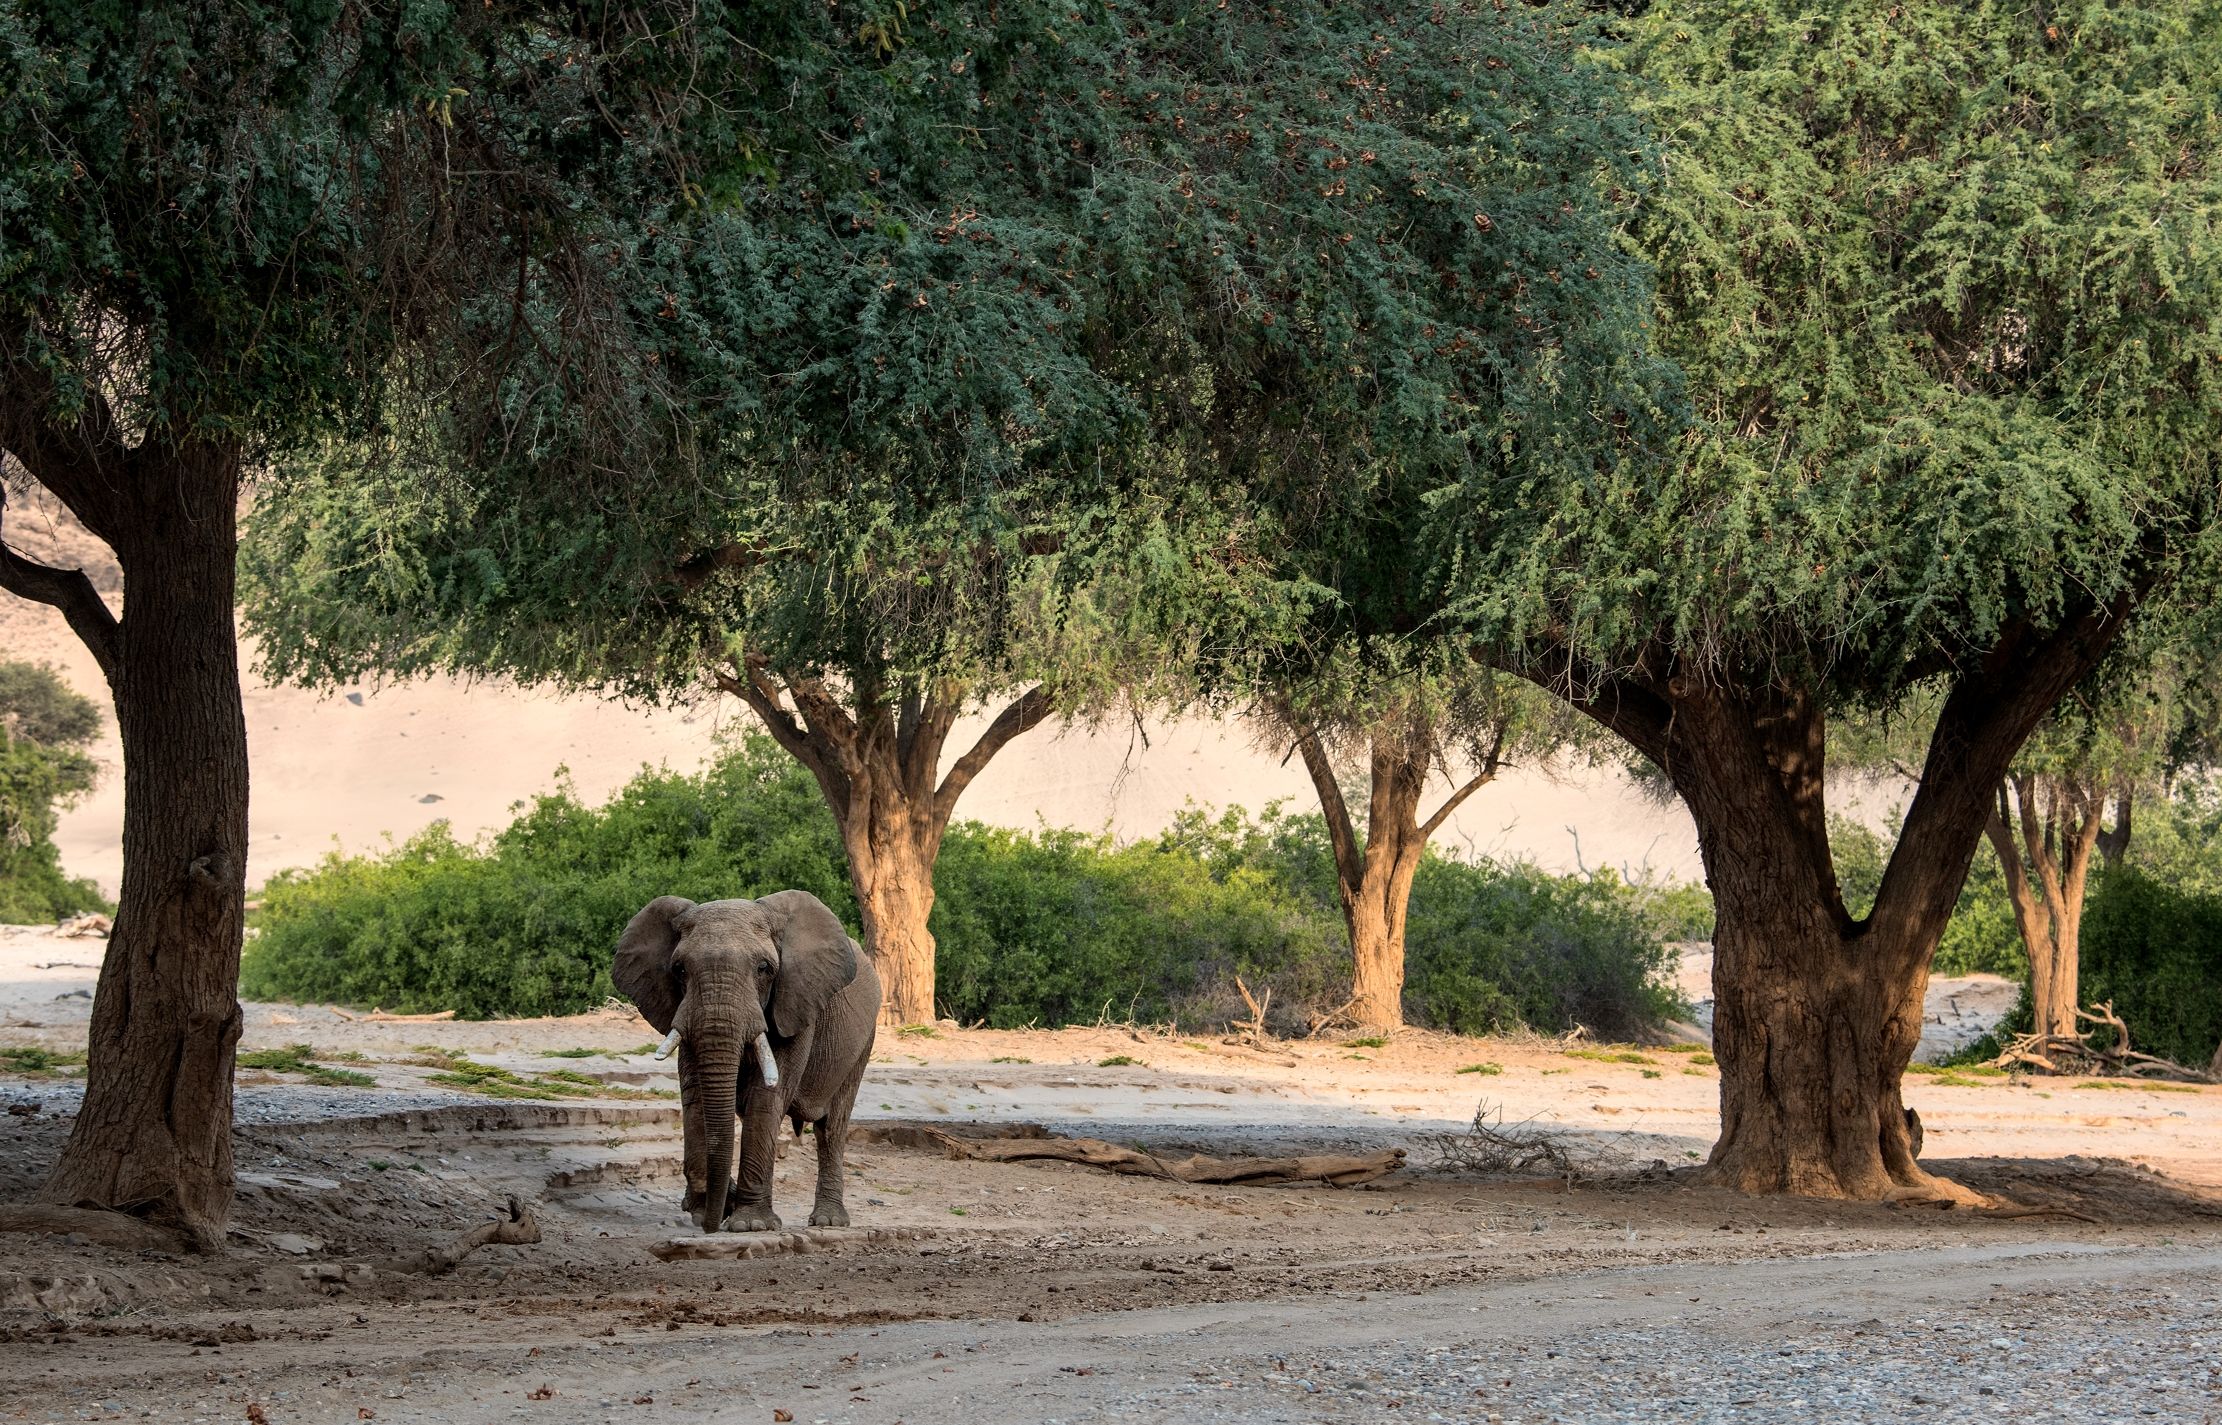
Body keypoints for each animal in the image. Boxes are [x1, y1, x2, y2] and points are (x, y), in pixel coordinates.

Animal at [612, 890, 881, 1234]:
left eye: (764, 968)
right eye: (679, 969)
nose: (710, 1225)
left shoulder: (795, 1004)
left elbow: (767, 1100)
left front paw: (750, 1225)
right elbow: (695, 1097)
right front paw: (708, 1208)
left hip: (863, 1042)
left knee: (832, 1127)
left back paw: (829, 1221)